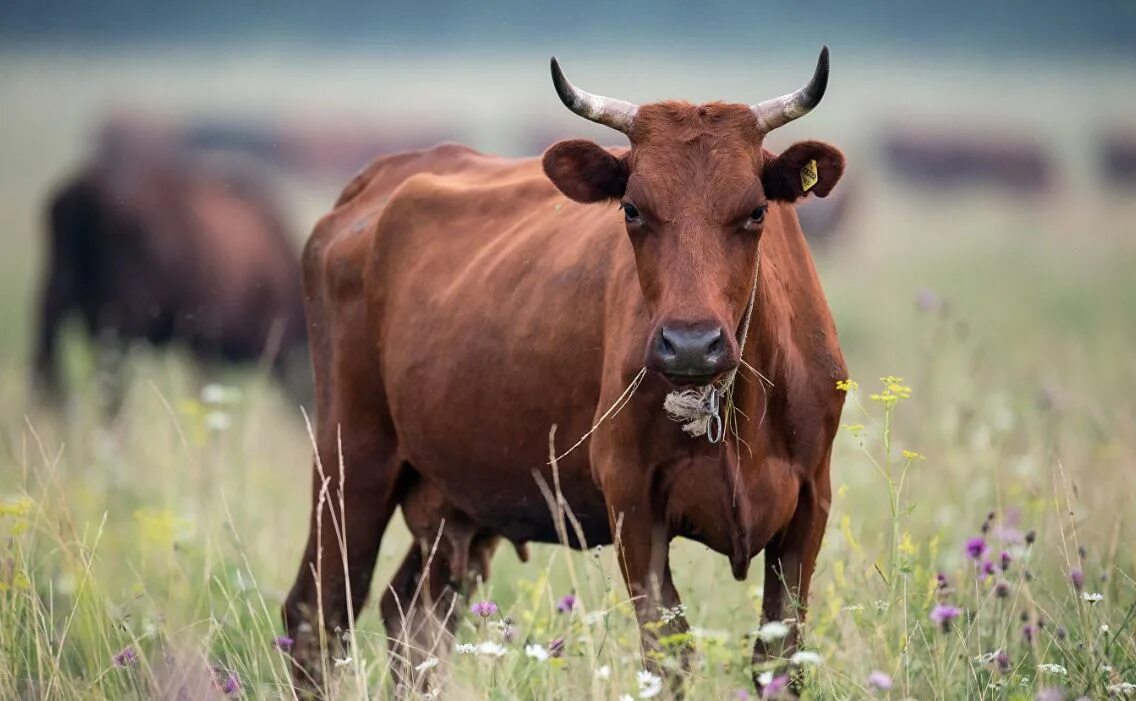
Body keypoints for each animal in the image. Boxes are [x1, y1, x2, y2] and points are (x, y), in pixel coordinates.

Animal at [288, 47, 849, 695]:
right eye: (632, 210)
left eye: (756, 212)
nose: (690, 345)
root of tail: (379, 179)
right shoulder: (633, 500)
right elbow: (667, 653)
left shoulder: (811, 500)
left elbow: (779, 657)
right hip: (350, 460)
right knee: (319, 614)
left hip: (455, 498)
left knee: (413, 617)